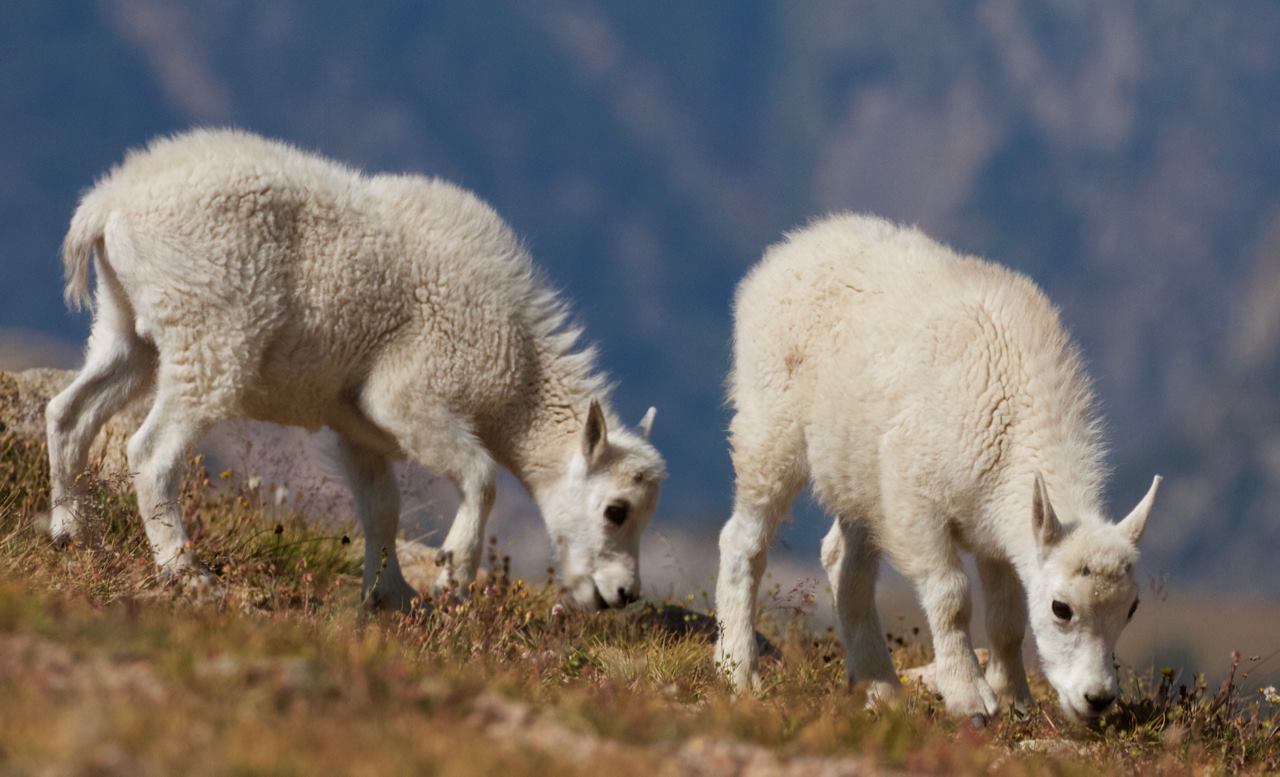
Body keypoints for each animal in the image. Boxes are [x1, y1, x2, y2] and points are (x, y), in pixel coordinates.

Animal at [45, 128, 665, 611]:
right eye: (616, 510)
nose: (622, 595)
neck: (521, 372)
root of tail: (107, 207)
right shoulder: (409, 396)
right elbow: (481, 476)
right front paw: (452, 578)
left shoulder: (360, 429)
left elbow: (381, 509)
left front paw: (392, 596)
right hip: (209, 335)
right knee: (151, 452)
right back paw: (185, 572)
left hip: (125, 326)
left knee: (69, 412)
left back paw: (70, 532)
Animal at [716, 212, 1167, 721]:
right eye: (1061, 608)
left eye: (1131, 608)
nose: (1097, 699)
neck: (1011, 421)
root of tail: (783, 254)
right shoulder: (916, 498)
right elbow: (952, 596)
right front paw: (970, 696)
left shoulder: (998, 531)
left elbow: (1007, 618)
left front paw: (1015, 699)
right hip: (770, 430)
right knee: (744, 541)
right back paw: (738, 671)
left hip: (858, 470)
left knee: (843, 563)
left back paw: (878, 686)